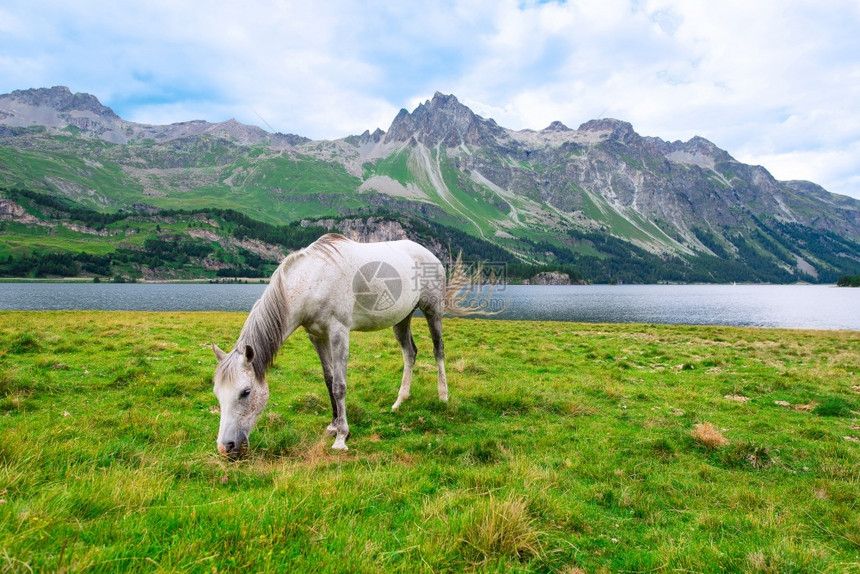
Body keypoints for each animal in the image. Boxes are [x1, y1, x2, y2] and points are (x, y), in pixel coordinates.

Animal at [212, 232, 466, 456]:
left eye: (245, 392)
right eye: (217, 392)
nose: (226, 447)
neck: (315, 279)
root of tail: (430, 255)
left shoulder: (339, 333)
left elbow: (339, 386)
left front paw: (342, 437)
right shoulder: (316, 336)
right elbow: (328, 380)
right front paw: (333, 426)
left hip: (432, 310)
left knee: (438, 350)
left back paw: (443, 395)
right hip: (401, 319)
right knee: (410, 353)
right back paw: (400, 401)